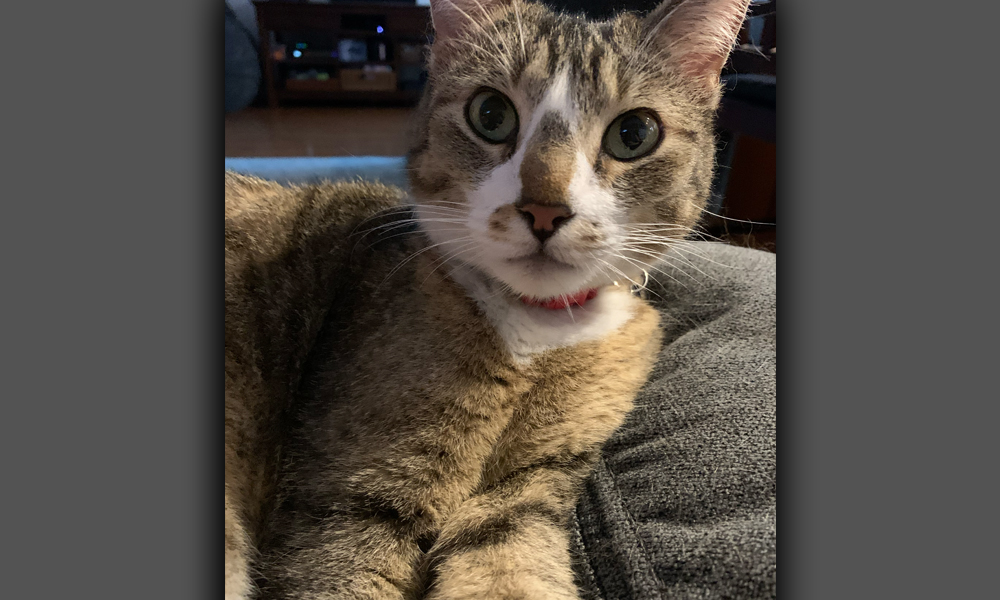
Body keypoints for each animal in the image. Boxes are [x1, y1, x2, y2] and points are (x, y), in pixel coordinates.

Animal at [225, 1, 752, 600]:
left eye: (634, 133)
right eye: (491, 114)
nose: (545, 209)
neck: (535, 330)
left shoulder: (530, 486)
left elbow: (509, 561)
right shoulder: (348, 498)